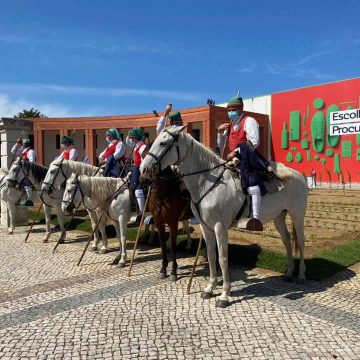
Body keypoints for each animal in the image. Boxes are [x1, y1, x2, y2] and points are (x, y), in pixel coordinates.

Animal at [139, 126, 308, 306]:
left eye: (163, 143)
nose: (143, 169)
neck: (207, 183)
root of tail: (298, 175)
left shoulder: (219, 227)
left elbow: (222, 258)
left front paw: (224, 294)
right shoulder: (206, 228)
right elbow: (212, 256)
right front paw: (209, 288)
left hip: (297, 215)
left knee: (301, 243)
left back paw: (301, 275)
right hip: (279, 217)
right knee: (287, 241)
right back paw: (289, 273)